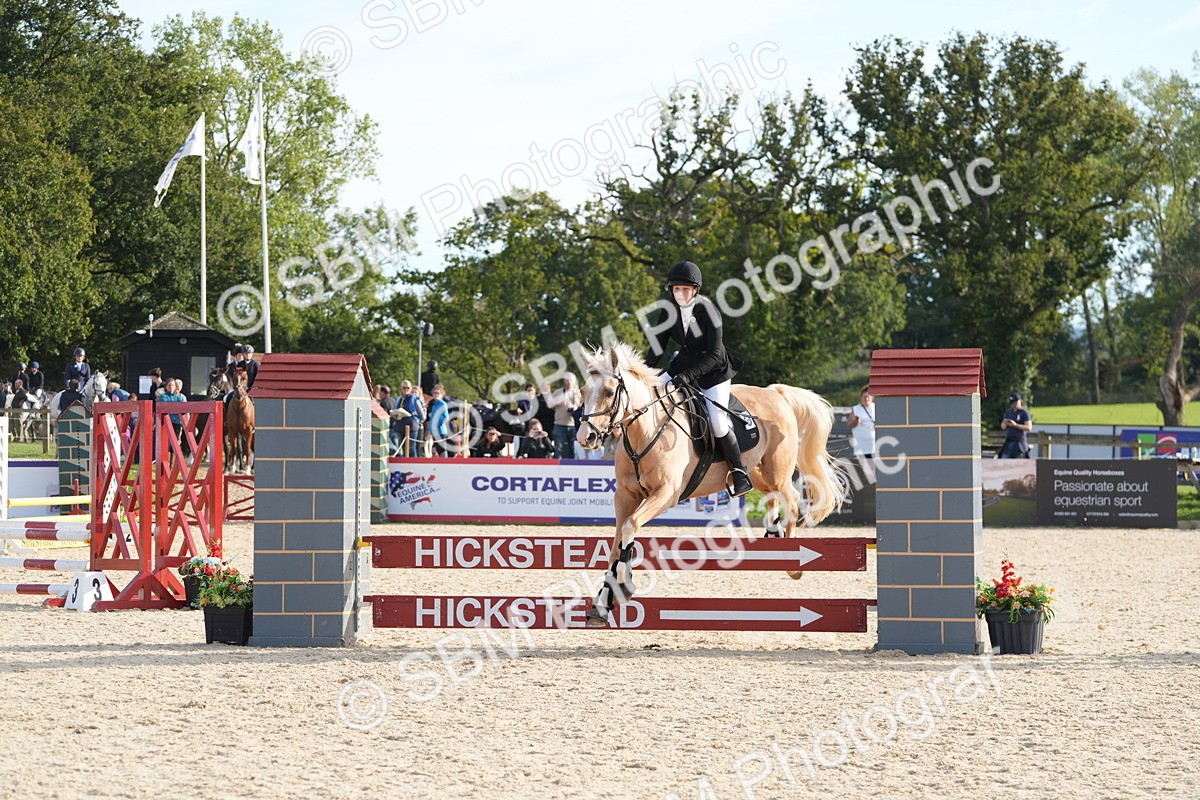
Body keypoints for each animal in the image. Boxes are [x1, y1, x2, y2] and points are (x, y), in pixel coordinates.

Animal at [575, 342, 845, 627]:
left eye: (608, 392)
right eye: (583, 392)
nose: (585, 437)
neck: (644, 431)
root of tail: (776, 392)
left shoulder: (666, 494)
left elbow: (630, 527)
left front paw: (623, 585)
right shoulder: (625, 496)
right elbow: (617, 544)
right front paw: (603, 604)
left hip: (777, 472)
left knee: (792, 500)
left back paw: (792, 563)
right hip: (756, 472)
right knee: (773, 496)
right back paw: (773, 534)